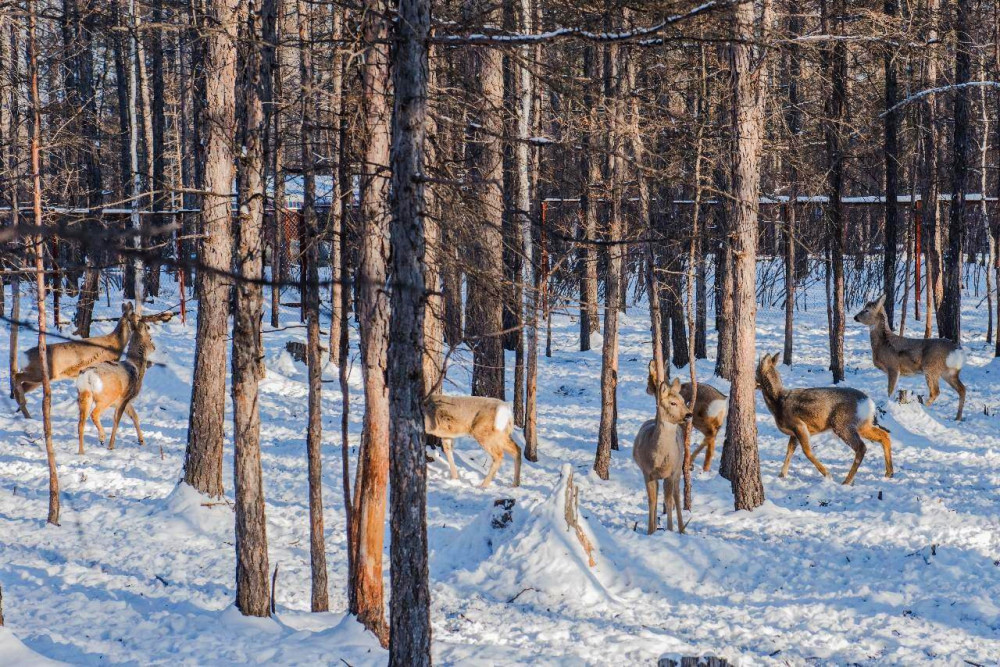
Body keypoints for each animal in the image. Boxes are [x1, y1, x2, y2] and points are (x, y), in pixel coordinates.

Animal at [75, 318, 156, 454]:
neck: (136, 368)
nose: (154, 347)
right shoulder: (124, 398)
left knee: (81, 423)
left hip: (84, 395)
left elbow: (135, 416)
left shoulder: (126, 400)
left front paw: (141, 441)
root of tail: (88, 376)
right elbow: (117, 420)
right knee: (94, 414)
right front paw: (111, 446)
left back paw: (81, 451)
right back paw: (102, 438)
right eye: (150, 338)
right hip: (107, 396)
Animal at [636, 374, 692, 536]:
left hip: (678, 468)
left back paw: (682, 529)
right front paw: (650, 531)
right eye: (673, 403)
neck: (659, 457)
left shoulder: (670, 472)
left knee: (676, 495)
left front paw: (670, 529)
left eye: (683, 401)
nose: (689, 414)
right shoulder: (647, 472)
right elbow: (652, 500)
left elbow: (668, 501)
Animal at [752, 354, 896, 486]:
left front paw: (827, 474)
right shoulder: (794, 433)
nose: (753, 383)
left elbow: (807, 451)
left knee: (862, 447)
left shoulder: (799, 425)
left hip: (841, 424)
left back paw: (847, 481)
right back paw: (889, 473)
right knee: (884, 435)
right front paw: (781, 475)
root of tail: (869, 404)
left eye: (756, 371)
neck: (777, 403)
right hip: (862, 425)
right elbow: (789, 451)